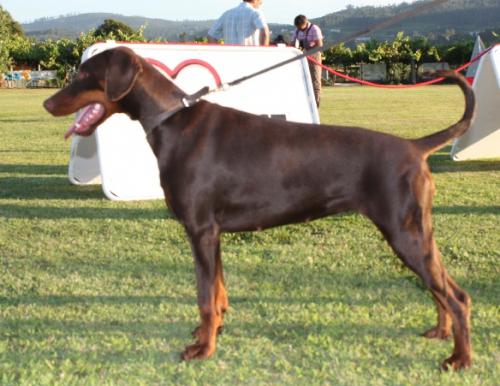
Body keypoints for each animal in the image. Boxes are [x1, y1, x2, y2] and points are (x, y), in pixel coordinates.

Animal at [44, 46, 476, 370]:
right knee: (441, 288)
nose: (47, 102)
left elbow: (204, 296)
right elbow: (217, 290)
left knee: (456, 296)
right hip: (415, 232)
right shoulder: (212, 233)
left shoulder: (200, 230)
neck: (172, 122)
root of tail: (416, 147)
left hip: (404, 232)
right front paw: (212, 332)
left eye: (84, 74)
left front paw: (203, 349)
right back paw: (440, 333)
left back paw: (460, 358)